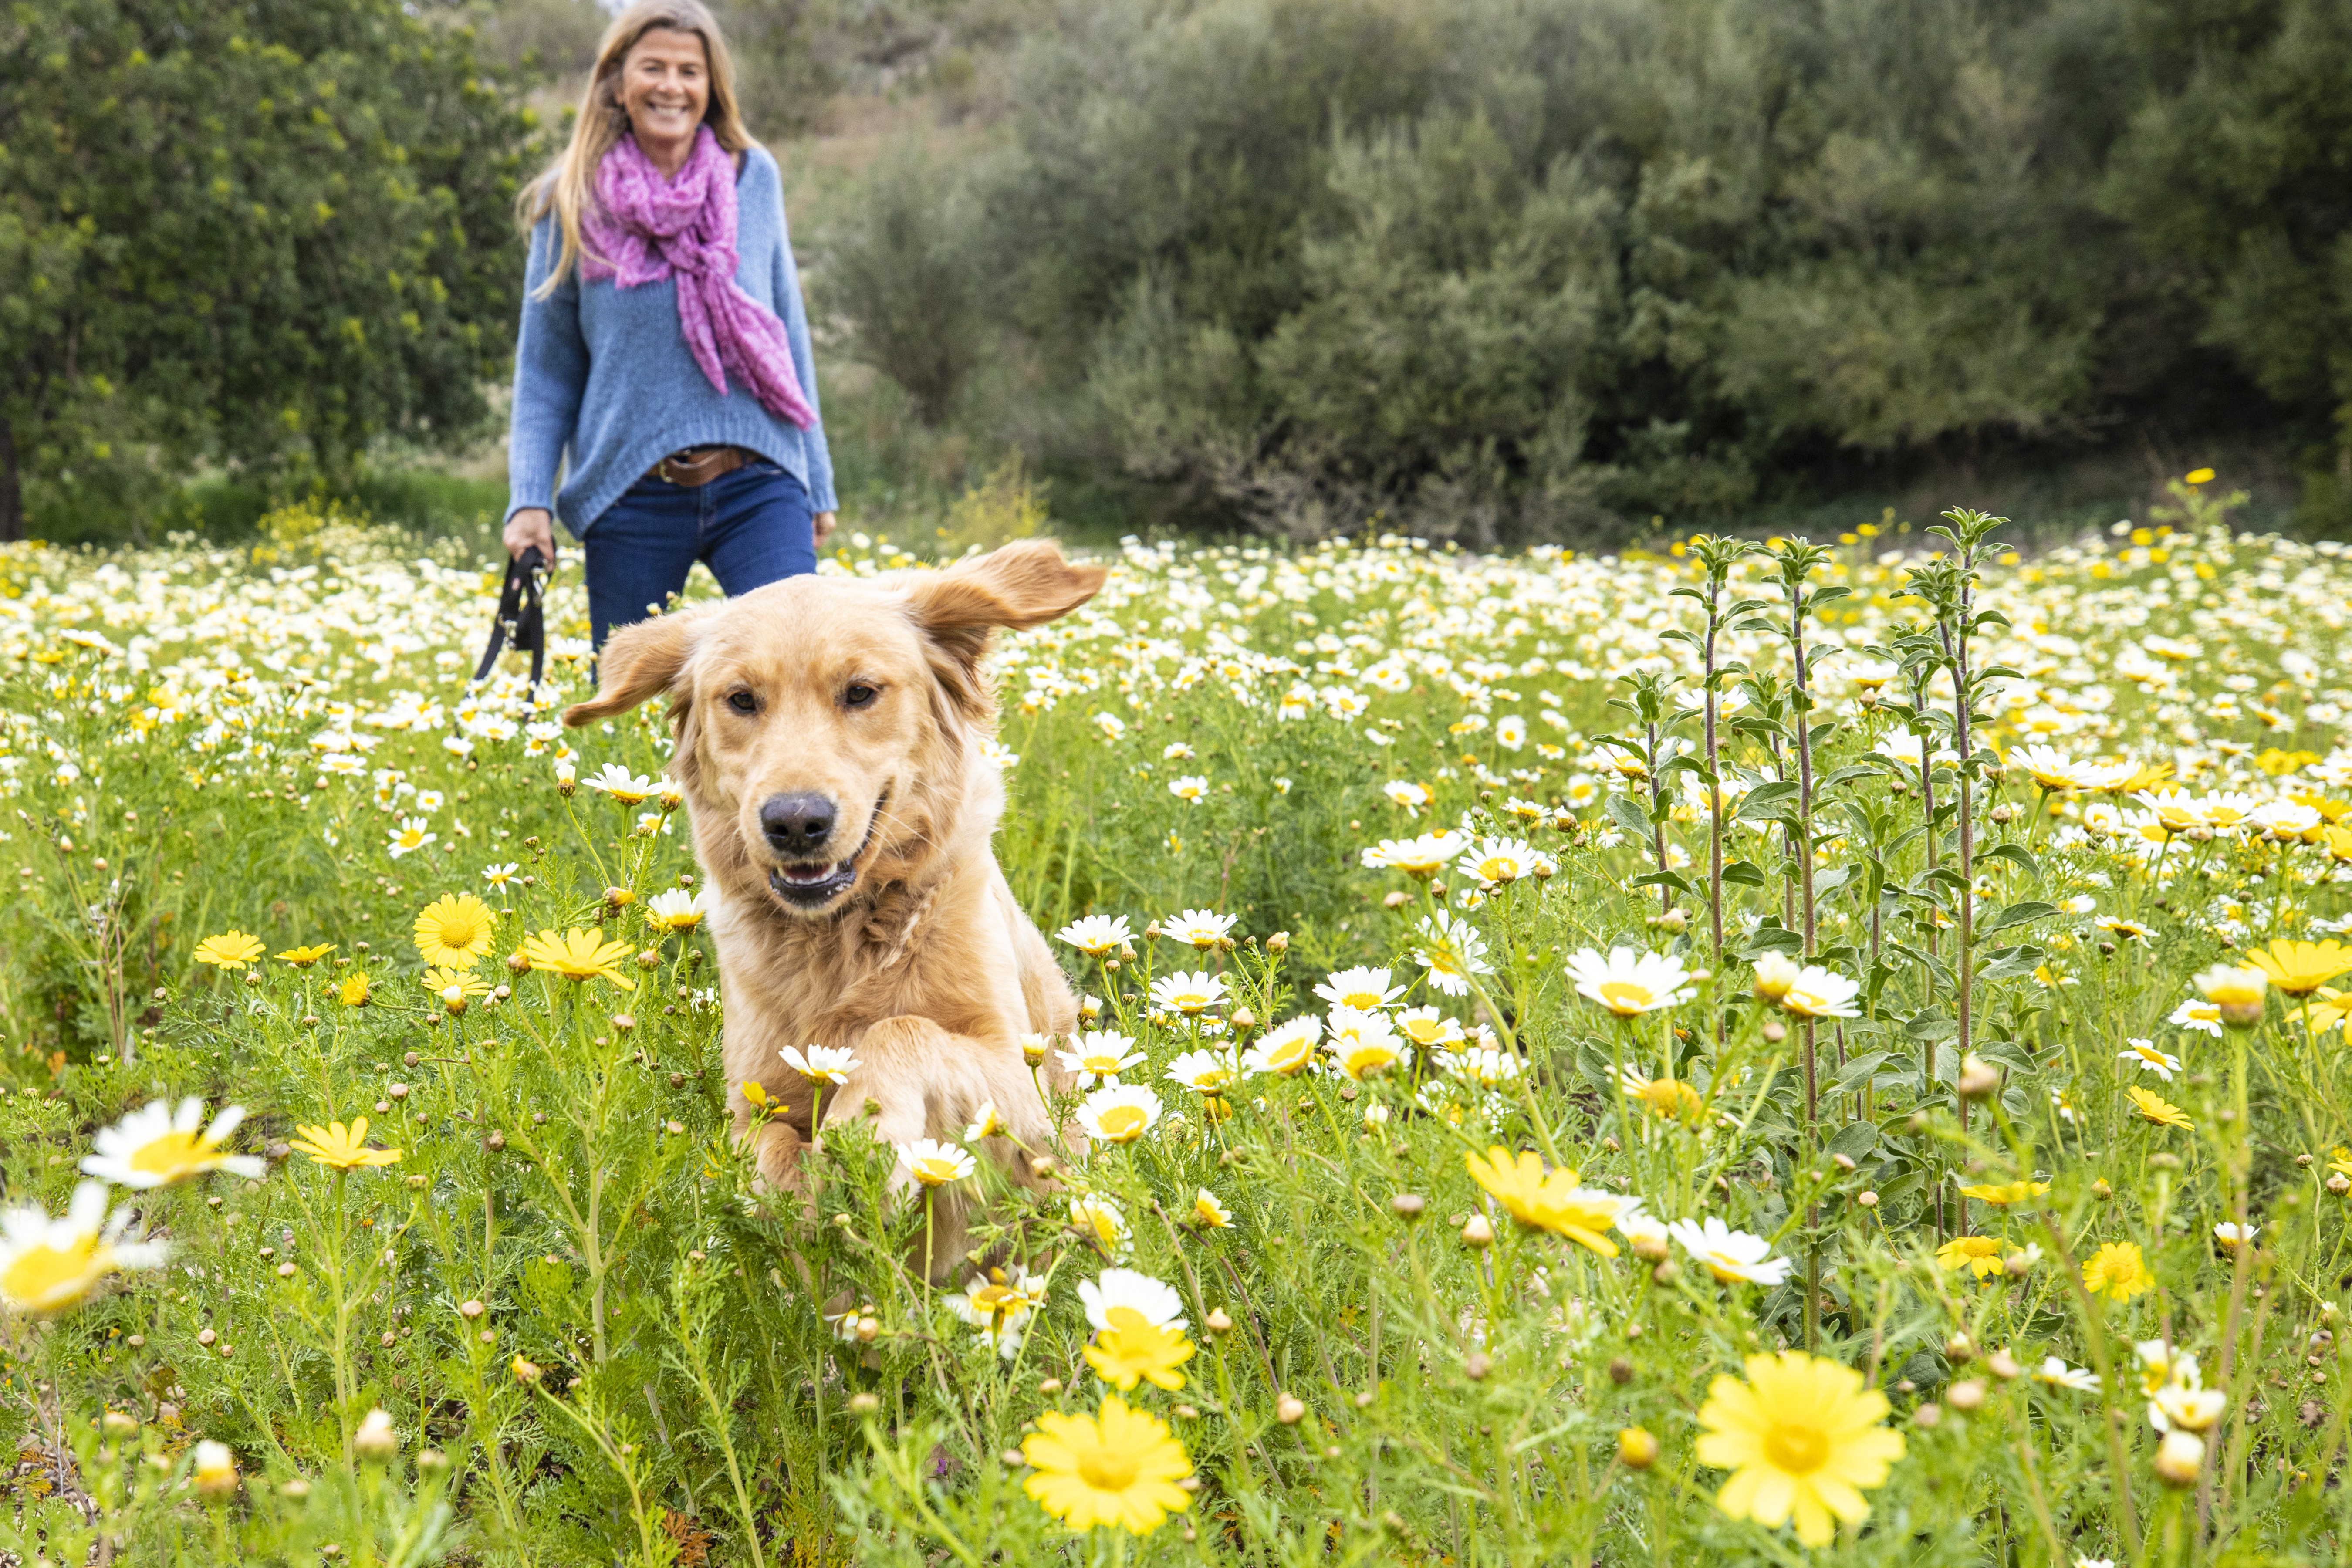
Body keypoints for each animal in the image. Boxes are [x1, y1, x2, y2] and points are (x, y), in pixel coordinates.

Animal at [576, 536, 1110, 1260]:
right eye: (741, 700)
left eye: (861, 692)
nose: (796, 822)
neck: (839, 934)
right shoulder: (751, 1102)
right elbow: (765, 1152)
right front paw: (809, 1207)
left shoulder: (1025, 1098)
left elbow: (902, 1029)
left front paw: (869, 1138)